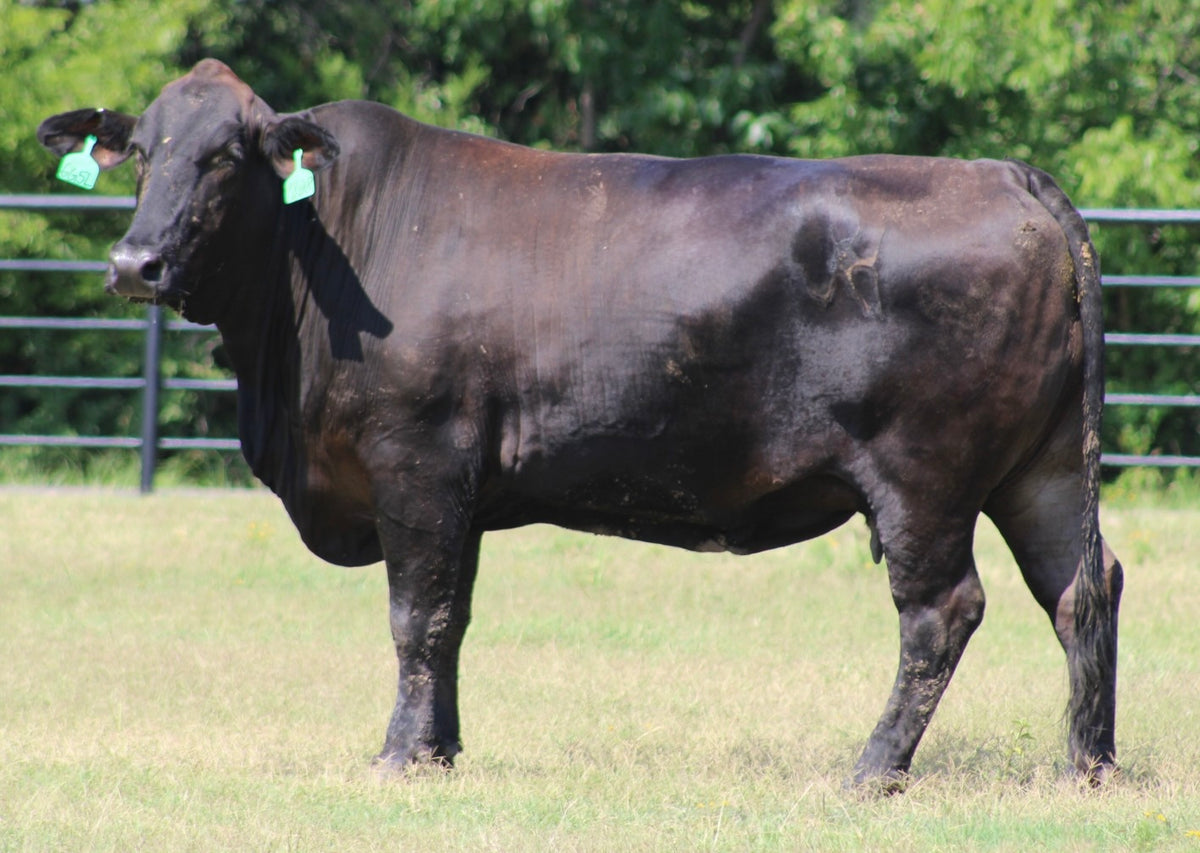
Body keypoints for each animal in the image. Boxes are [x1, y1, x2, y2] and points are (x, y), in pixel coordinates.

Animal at [39, 59, 1122, 788]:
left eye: (227, 156)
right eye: (142, 153)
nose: (133, 262)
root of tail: (1011, 177)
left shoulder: (416, 459)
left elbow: (415, 614)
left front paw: (399, 757)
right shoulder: (462, 486)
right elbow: (454, 618)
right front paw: (442, 749)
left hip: (924, 473)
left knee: (943, 610)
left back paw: (871, 769)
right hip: (1041, 470)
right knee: (1084, 588)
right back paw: (1089, 763)